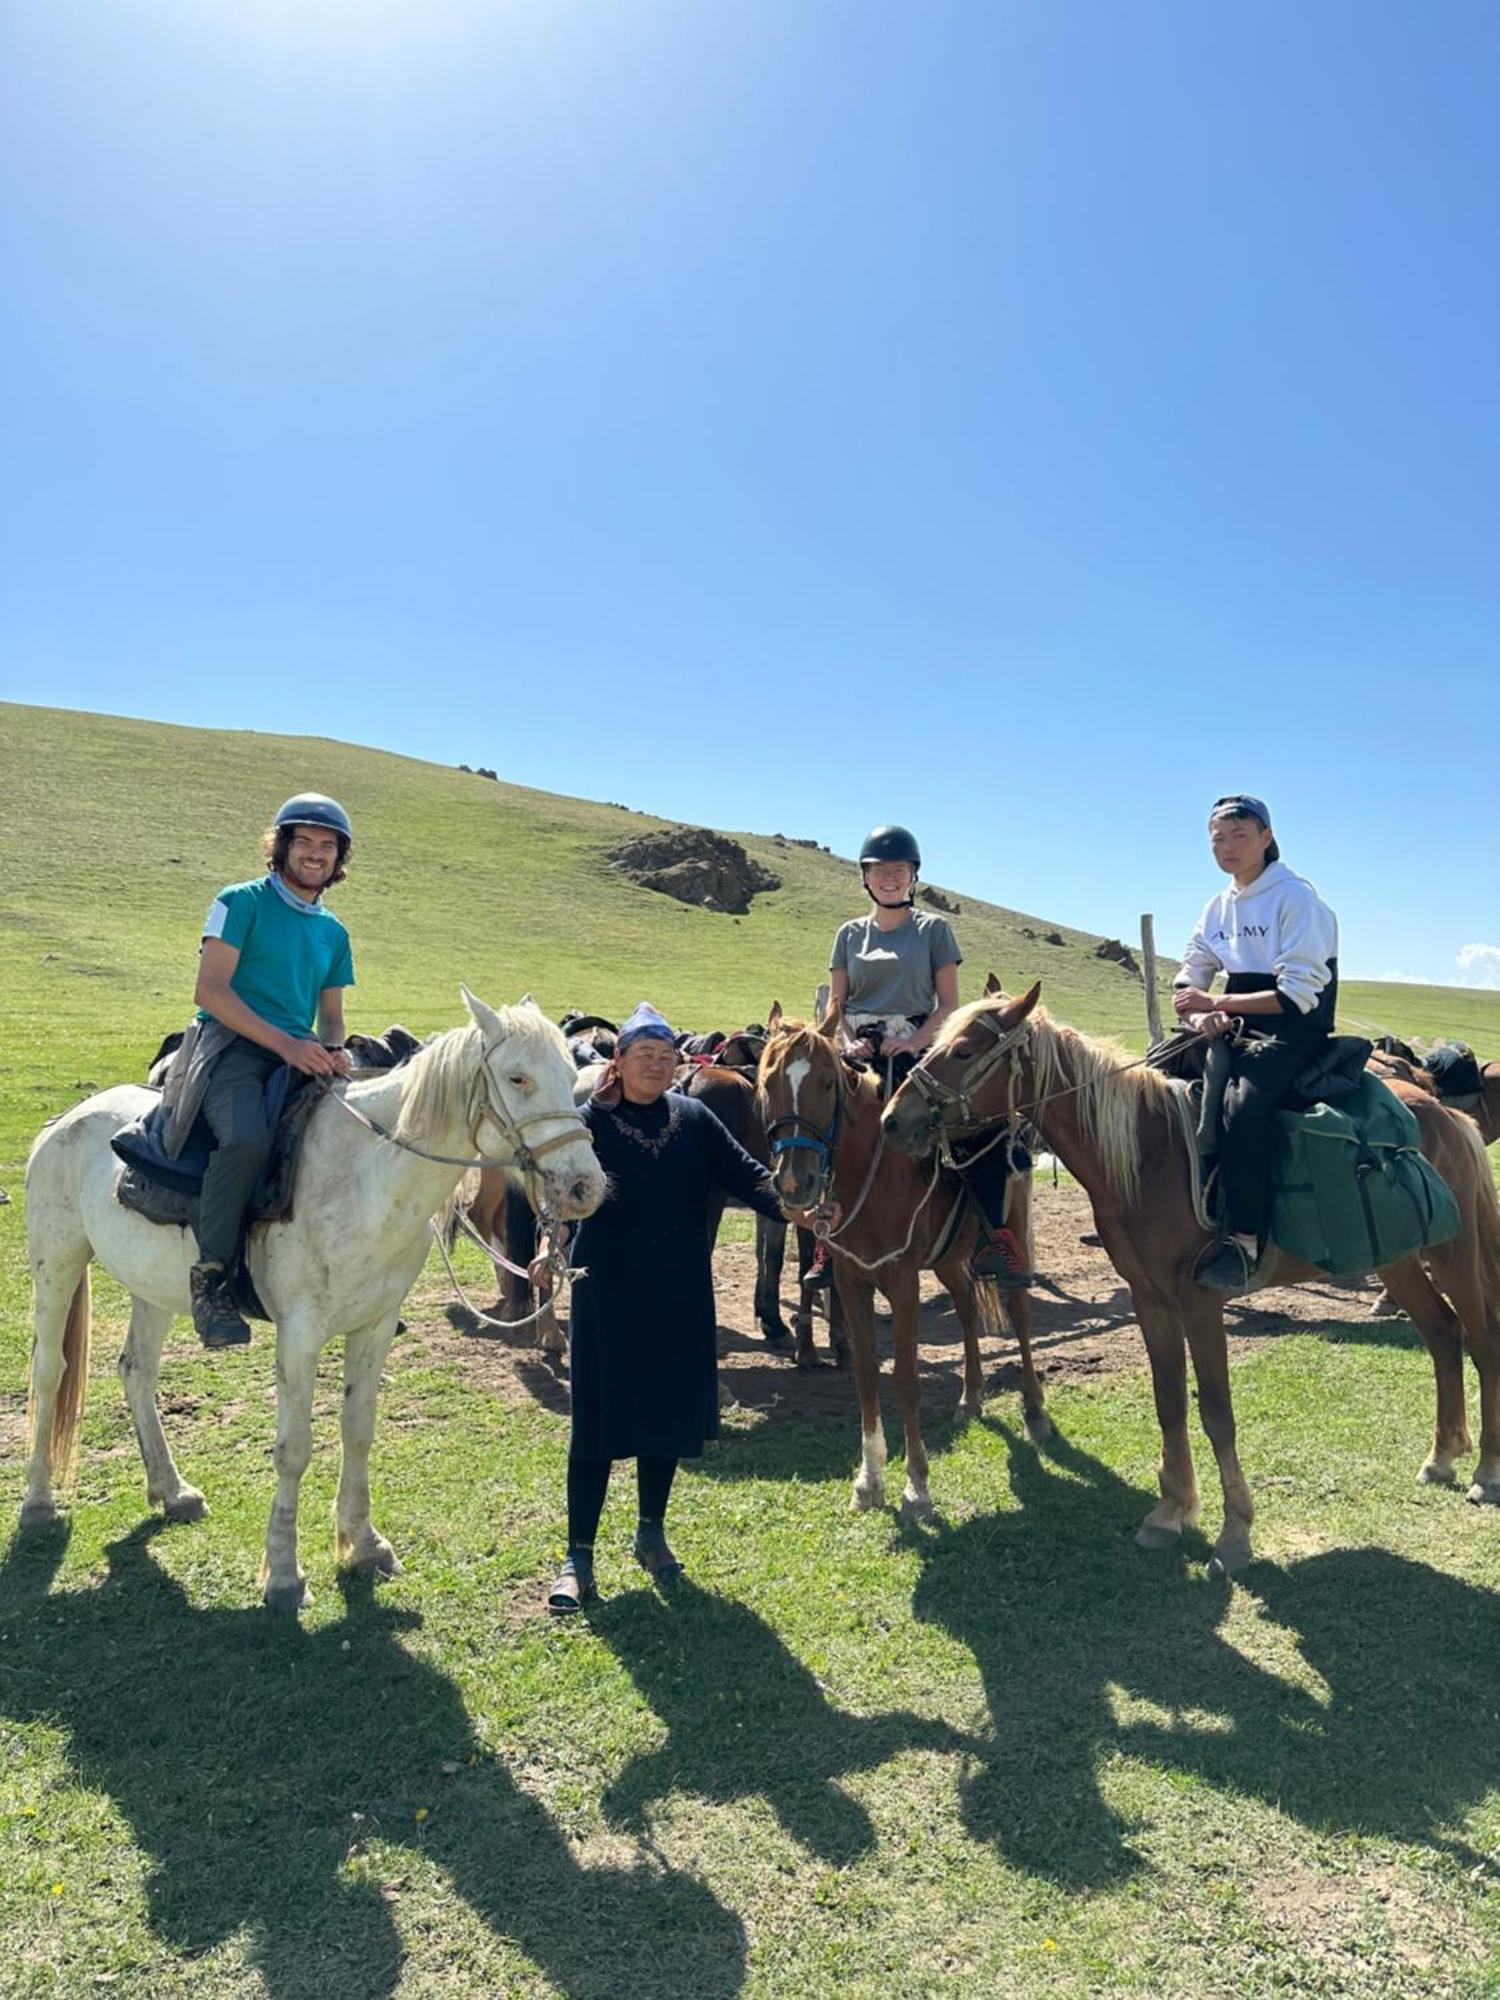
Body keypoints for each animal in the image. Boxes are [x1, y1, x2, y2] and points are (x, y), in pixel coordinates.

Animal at [20, 992, 604, 1616]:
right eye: (518, 1078)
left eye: (571, 1075)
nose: (584, 1187)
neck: (367, 1179)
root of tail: (68, 1120)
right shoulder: (299, 1335)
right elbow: (294, 1449)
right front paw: (282, 1574)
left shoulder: (374, 1326)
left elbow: (358, 1430)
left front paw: (364, 1544)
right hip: (56, 1263)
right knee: (50, 1373)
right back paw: (37, 1503)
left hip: (150, 1288)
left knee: (137, 1371)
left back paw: (172, 1491)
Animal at [764, 1000, 1048, 1512]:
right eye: (768, 1082)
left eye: (828, 1083)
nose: (796, 1182)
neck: (872, 1176)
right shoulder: (853, 1281)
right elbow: (865, 1376)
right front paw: (869, 1480)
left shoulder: (902, 1283)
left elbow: (905, 1381)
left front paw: (916, 1483)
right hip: (949, 1261)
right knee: (967, 1310)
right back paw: (970, 1398)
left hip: (1013, 1235)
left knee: (1019, 1316)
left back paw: (1035, 1411)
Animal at [888, 984, 1500, 1576]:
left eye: (964, 1051)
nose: (894, 1119)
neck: (1146, 1155)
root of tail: (1447, 1116)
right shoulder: (1149, 1300)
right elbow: (1170, 1402)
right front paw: (1171, 1512)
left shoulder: (1200, 1301)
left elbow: (1217, 1414)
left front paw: (1234, 1535)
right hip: (1399, 1260)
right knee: (1442, 1333)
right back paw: (1441, 1458)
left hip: (1453, 1252)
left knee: (1479, 1342)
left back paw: (1485, 1473)